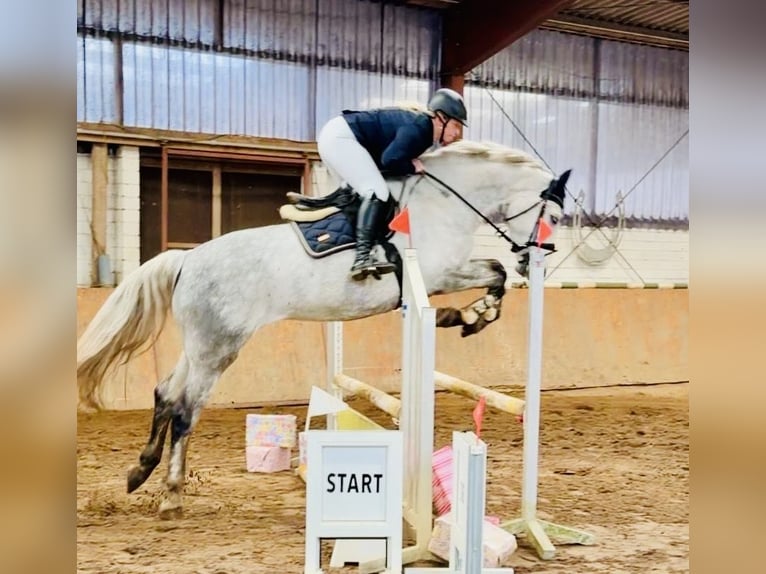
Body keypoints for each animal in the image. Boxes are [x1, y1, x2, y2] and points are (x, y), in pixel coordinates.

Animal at [77, 139, 568, 519]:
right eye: (555, 218)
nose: (535, 259)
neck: (444, 203)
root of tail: (188, 259)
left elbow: (495, 272)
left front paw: (469, 316)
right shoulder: (438, 274)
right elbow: (494, 273)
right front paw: (471, 315)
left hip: (199, 346)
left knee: (165, 393)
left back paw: (140, 472)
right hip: (219, 347)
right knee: (184, 410)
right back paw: (171, 497)